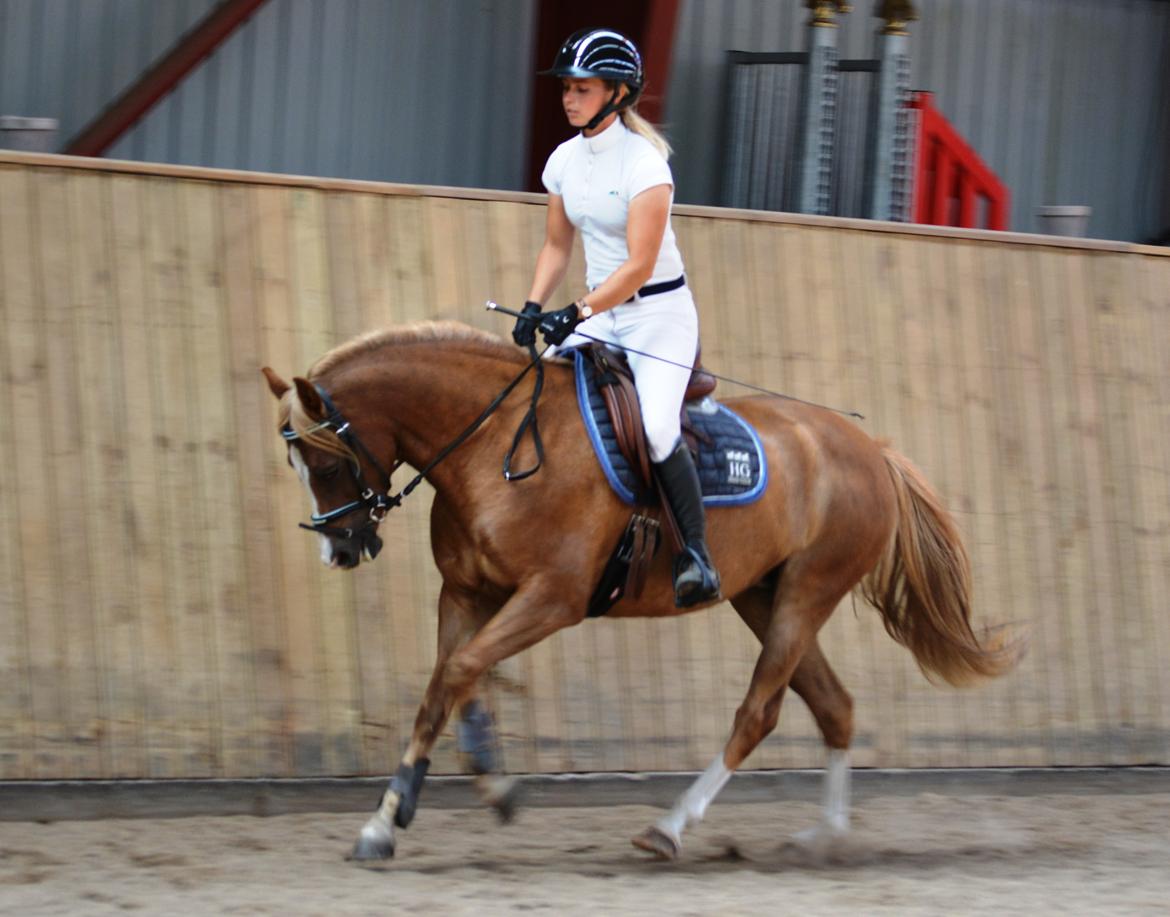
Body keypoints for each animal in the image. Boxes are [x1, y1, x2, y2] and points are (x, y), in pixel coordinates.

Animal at [261, 319, 1018, 862]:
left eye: (324, 463)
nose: (340, 548)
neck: (495, 445)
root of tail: (872, 450)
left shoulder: (553, 598)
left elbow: (461, 670)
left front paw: (437, 800)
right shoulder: (466, 593)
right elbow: (447, 683)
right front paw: (413, 811)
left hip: (809, 591)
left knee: (759, 712)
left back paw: (671, 827)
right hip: (760, 593)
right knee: (833, 706)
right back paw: (824, 838)